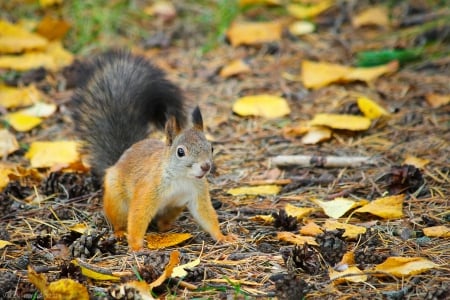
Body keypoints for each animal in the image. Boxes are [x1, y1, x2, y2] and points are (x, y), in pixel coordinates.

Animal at [71, 51, 234, 251]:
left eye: (211, 147)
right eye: (180, 152)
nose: (205, 167)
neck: (181, 178)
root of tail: (118, 159)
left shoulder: (198, 192)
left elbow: (206, 215)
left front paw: (223, 237)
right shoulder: (148, 189)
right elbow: (138, 216)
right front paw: (135, 246)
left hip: (175, 207)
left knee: (163, 221)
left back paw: (169, 227)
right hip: (117, 202)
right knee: (119, 220)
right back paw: (119, 233)